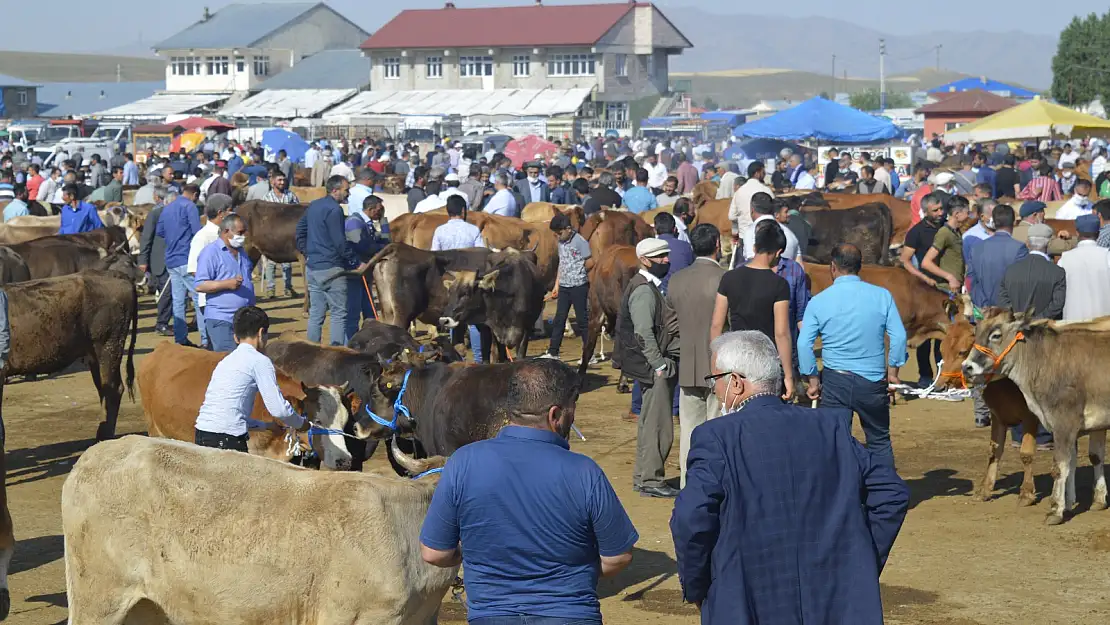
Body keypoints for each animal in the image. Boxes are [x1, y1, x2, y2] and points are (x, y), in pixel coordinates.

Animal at [2, 268, 137, 439]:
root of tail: (112, 273)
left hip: (108, 346)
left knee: (112, 389)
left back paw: (104, 435)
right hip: (95, 355)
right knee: (103, 388)